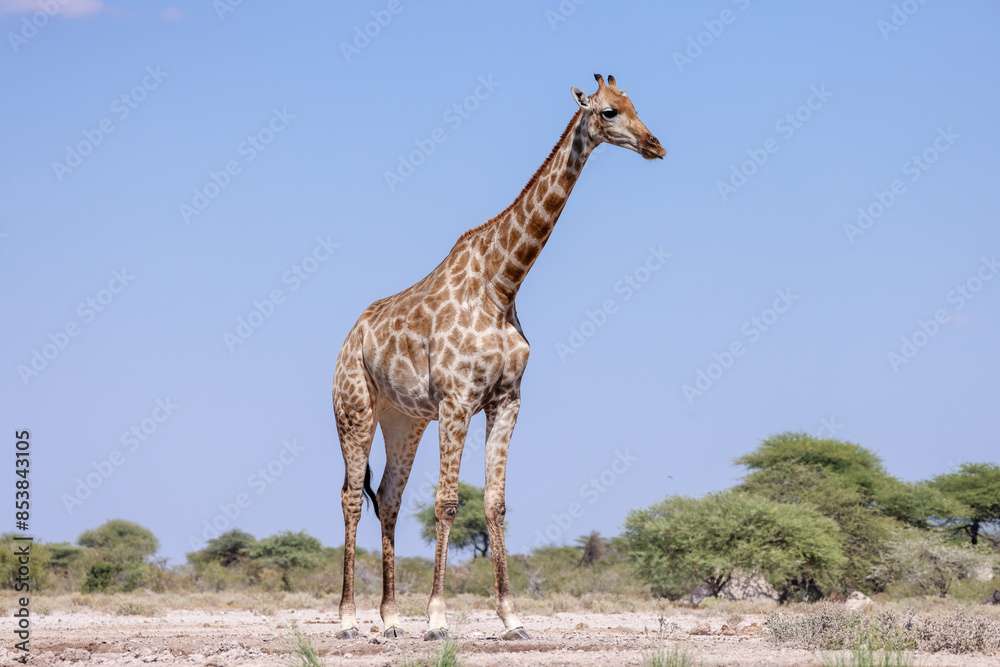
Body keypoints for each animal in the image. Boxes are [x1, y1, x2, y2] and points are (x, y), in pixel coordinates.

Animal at [333, 74, 665, 641]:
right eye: (608, 112)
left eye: (635, 106)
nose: (655, 145)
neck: (502, 283)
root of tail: (347, 339)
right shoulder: (457, 400)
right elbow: (447, 502)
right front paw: (438, 619)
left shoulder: (506, 400)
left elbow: (495, 502)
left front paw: (512, 618)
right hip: (354, 411)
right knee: (354, 498)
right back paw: (349, 619)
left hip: (403, 419)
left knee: (390, 499)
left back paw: (391, 619)